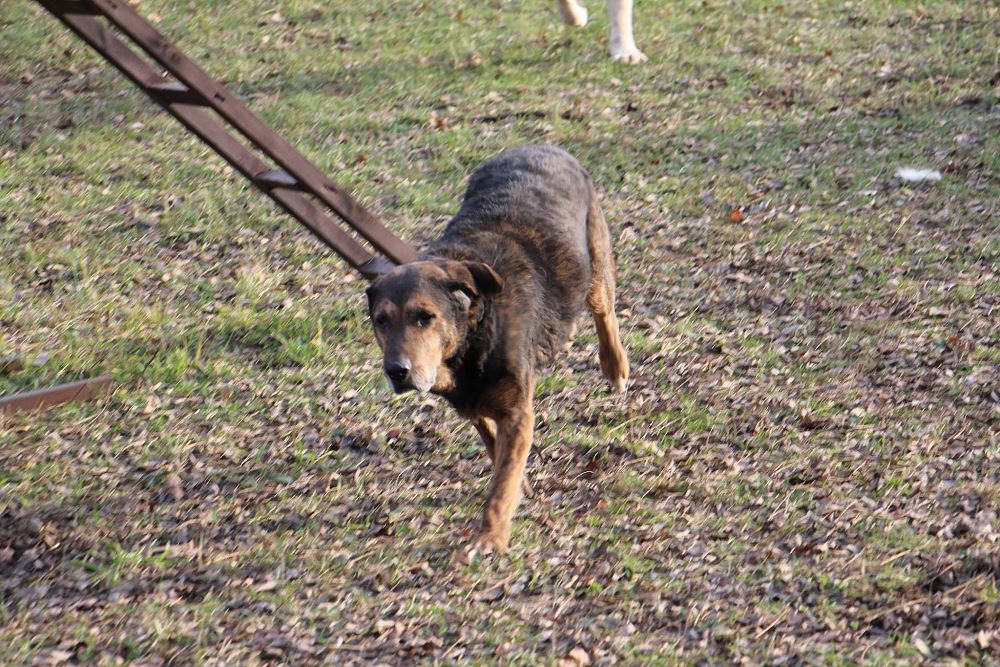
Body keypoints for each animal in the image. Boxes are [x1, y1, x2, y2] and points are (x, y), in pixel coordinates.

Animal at [365, 145, 630, 557]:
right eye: (381, 320)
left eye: (425, 317)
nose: (397, 371)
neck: (475, 331)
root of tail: (542, 145)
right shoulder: (475, 404)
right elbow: (494, 446)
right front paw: (518, 482)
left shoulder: (518, 413)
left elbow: (502, 482)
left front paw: (490, 535)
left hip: (595, 262)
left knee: (605, 312)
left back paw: (615, 366)